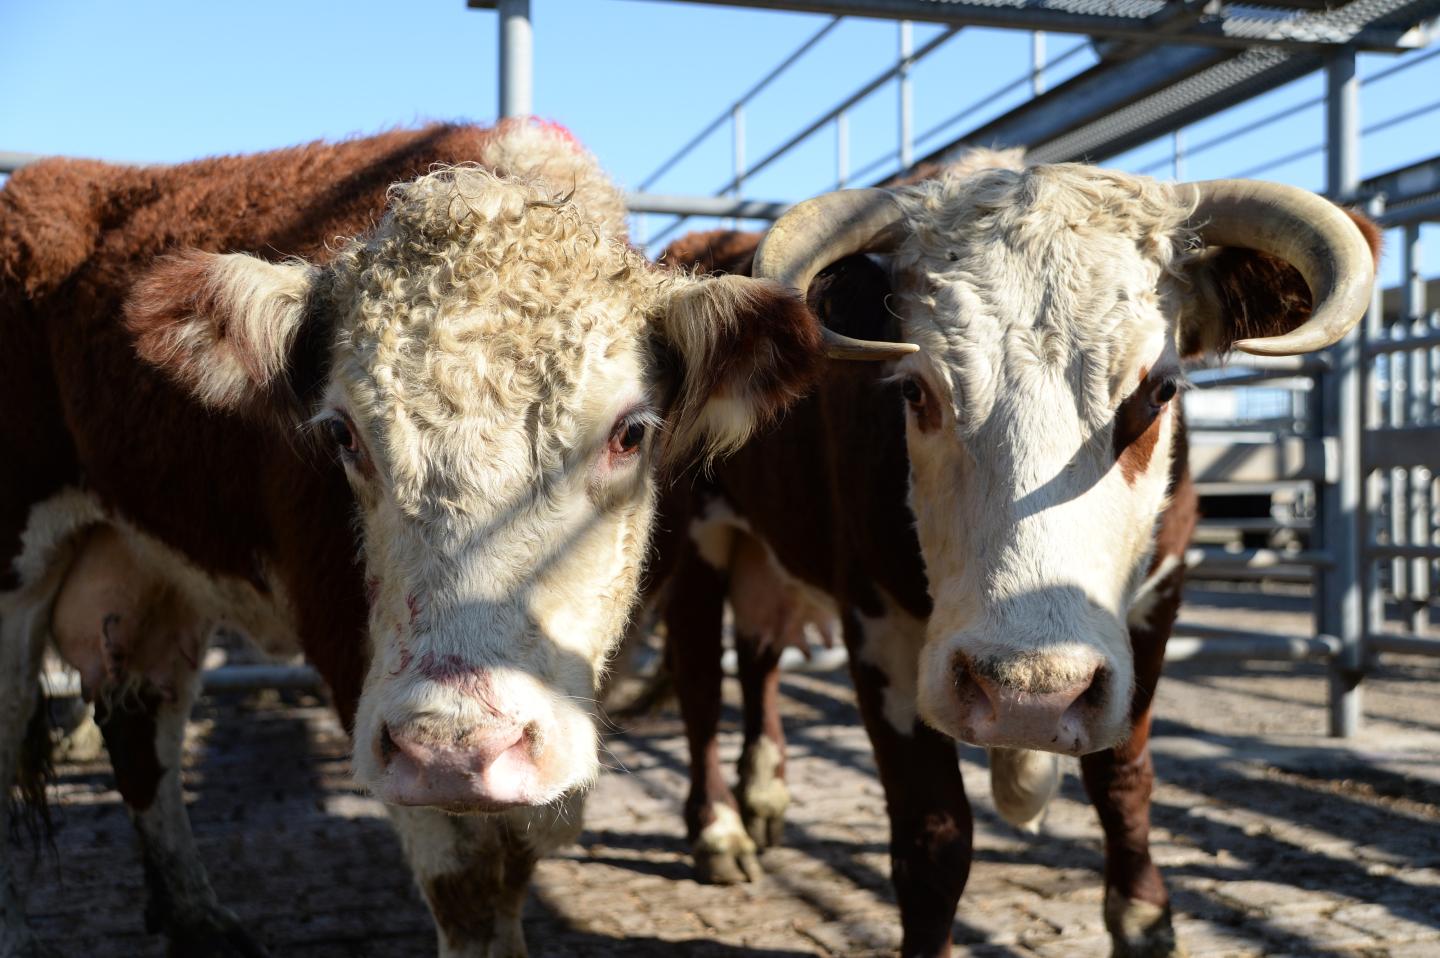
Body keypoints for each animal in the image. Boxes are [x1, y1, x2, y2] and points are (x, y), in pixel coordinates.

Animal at [0, 120, 857, 957]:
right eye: (341, 433)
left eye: (630, 432)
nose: (453, 747)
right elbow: (467, 889)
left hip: (152, 575)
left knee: (143, 727)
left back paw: (196, 916)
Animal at [655, 153, 1378, 958]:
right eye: (916, 391)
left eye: (1160, 391)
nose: (1033, 692)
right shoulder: (877, 628)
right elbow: (934, 834)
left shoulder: (1154, 607)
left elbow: (1122, 774)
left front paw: (1142, 916)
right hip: (691, 543)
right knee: (700, 682)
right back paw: (718, 829)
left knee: (757, 658)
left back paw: (762, 795)